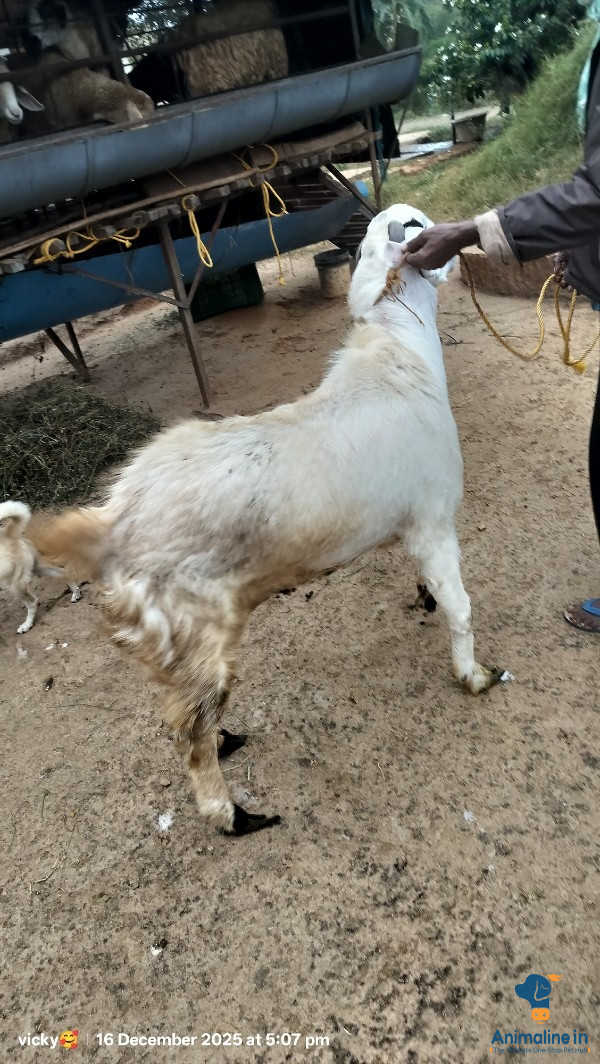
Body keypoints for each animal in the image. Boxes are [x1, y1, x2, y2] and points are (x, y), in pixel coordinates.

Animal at [31, 203, 503, 837]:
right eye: (415, 225)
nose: (462, 240)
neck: (400, 352)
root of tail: (112, 521)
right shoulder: (433, 519)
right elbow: (461, 607)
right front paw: (473, 675)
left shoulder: (412, 528)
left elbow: (431, 586)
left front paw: (425, 598)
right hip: (196, 630)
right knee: (187, 733)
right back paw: (232, 812)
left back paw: (227, 744)